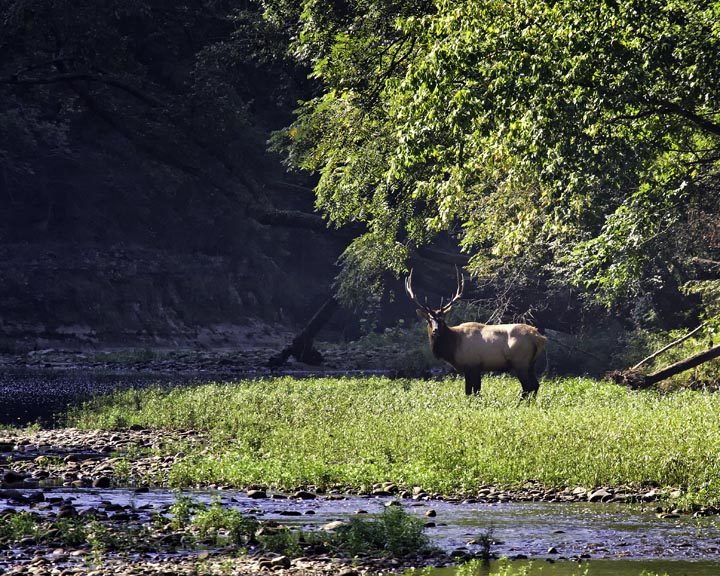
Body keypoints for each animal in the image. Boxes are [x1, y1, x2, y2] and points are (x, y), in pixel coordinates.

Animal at [404, 268, 544, 396]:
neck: (453, 346)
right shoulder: (469, 369)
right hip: (531, 363)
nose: (436, 330)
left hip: (520, 361)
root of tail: (539, 337)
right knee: (535, 385)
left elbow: (474, 391)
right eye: (429, 320)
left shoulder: (473, 364)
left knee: (528, 387)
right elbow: (469, 392)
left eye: (442, 320)